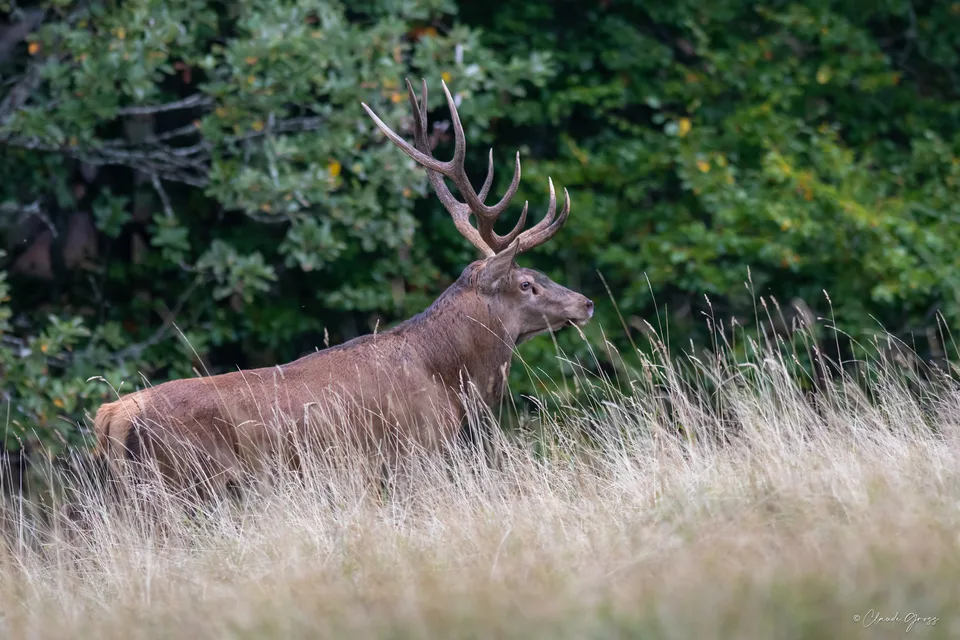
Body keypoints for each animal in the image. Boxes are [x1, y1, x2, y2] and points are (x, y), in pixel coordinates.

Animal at [91, 79, 594, 495]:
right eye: (526, 283)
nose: (586, 302)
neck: (449, 378)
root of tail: (114, 415)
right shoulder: (412, 454)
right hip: (182, 484)